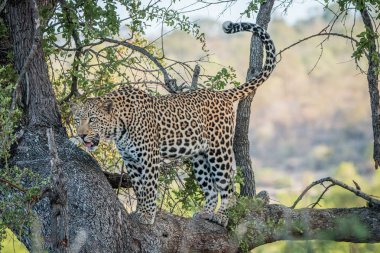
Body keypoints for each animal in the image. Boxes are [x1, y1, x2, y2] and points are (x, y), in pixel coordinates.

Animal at [71, 21, 278, 226]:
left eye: (92, 119)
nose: (81, 135)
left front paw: (148, 215)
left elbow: (148, 188)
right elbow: (139, 188)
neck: (119, 127)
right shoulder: (131, 161)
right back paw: (205, 213)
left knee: (227, 185)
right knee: (210, 187)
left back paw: (223, 215)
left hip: (219, 150)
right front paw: (140, 211)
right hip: (199, 156)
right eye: (77, 120)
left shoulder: (149, 158)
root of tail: (220, 94)